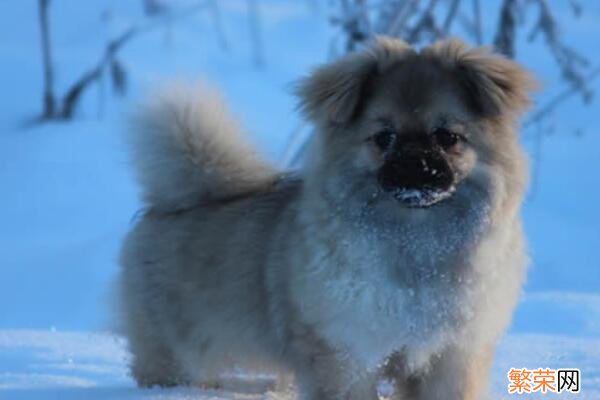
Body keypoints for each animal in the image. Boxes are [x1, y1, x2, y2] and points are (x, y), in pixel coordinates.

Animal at [117, 37, 536, 400]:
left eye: (447, 137)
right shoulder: (347, 357)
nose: (416, 165)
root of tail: (178, 199)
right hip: (175, 355)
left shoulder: (450, 358)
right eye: (384, 138)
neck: (415, 247)